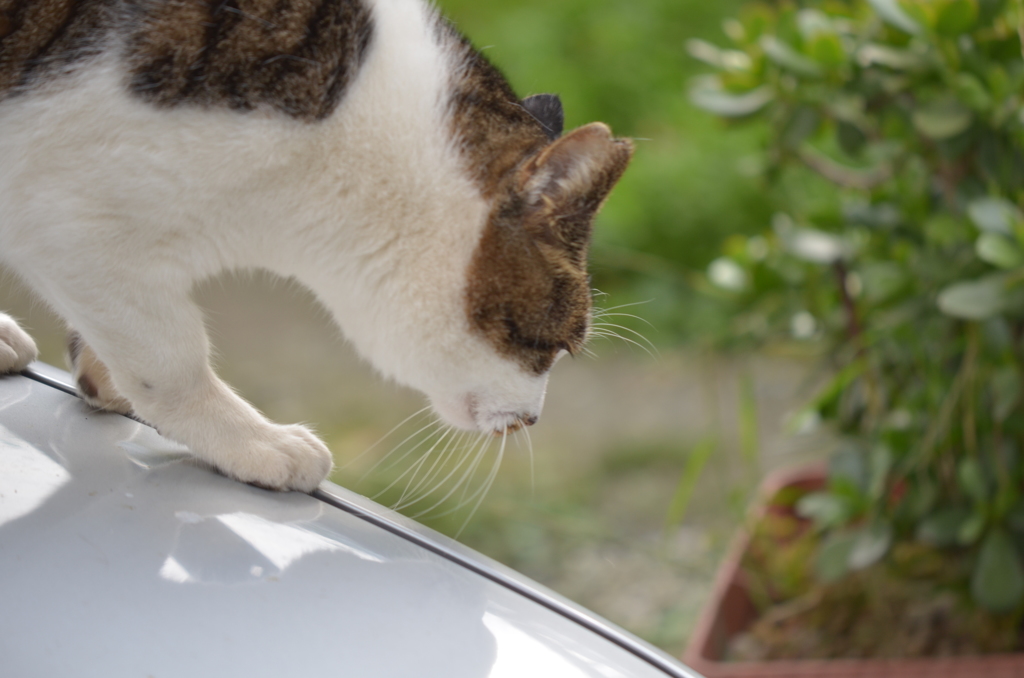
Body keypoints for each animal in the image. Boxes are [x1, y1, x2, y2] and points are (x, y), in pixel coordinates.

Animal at [0, 0, 630, 491]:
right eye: (556, 344)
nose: (532, 419)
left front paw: (99, 370)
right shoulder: (70, 216)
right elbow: (170, 357)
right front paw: (249, 440)